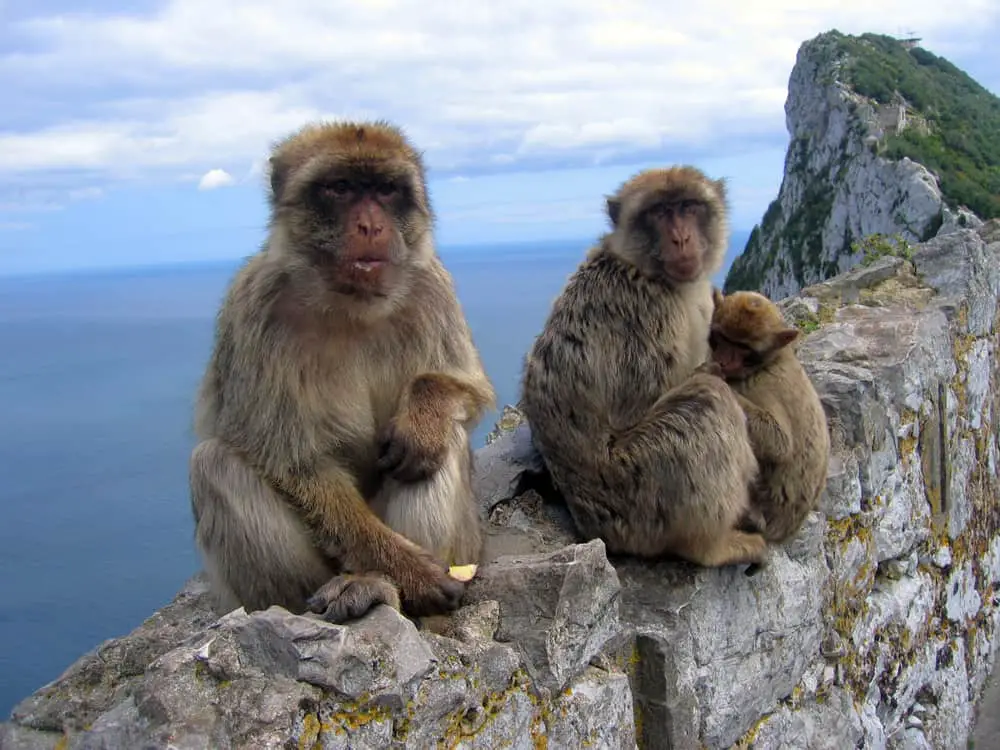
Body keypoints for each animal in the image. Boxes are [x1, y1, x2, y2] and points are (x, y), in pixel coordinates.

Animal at [187, 119, 492, 624]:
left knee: (438, 446)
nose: (370, 225)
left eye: (386, 190)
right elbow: (293, 461)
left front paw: (424, 415)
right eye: (341, 188)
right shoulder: (254, 308)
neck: (351, 305)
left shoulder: (432, 287)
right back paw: (364, 585)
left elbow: (467, 387)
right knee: (215, 464)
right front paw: (411, 572)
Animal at [520, 167, 760, 568]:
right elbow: (636, 410)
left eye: (689, 206)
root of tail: (592, 524)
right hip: (638, 493)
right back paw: (711, 547)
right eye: (659, 213)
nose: (681, 238)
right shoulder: (647, 311)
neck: (645, 270)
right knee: (709, 399)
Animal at [708, 290, 832, 548]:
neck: (770, 361)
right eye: (722, 338)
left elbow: (779, 444)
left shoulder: (762, 384)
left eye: (741, 346)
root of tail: (785, 532)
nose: (722, 359)